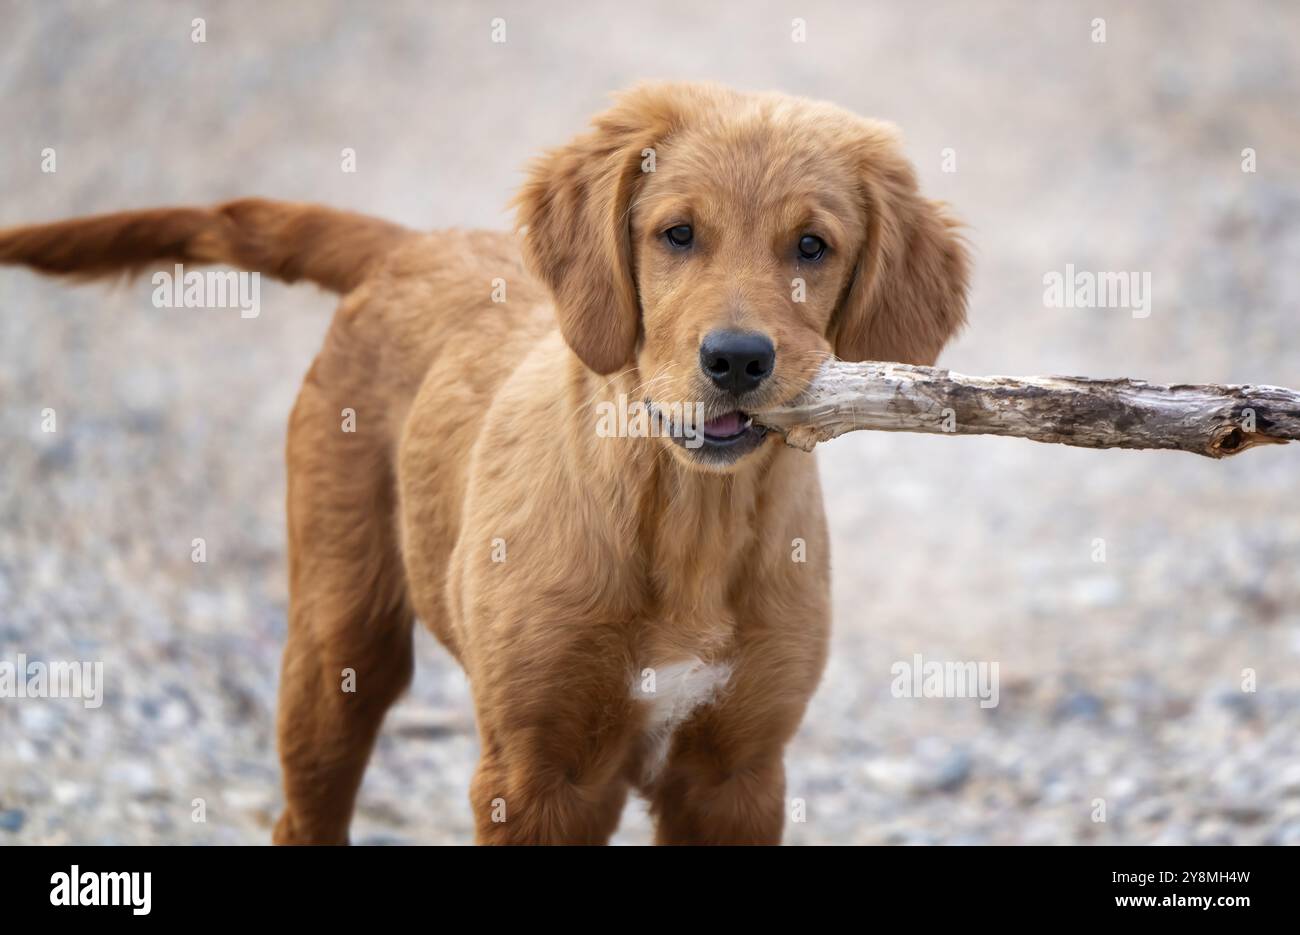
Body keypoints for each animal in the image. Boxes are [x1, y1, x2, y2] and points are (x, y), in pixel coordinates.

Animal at [0, 80, 967, 842]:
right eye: (677, 234)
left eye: (812, 246)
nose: (736, 360)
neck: (686, 514)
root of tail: (409, 245)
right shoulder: (534, 774)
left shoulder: (738, 774)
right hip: (340, 641)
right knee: (303, 812)